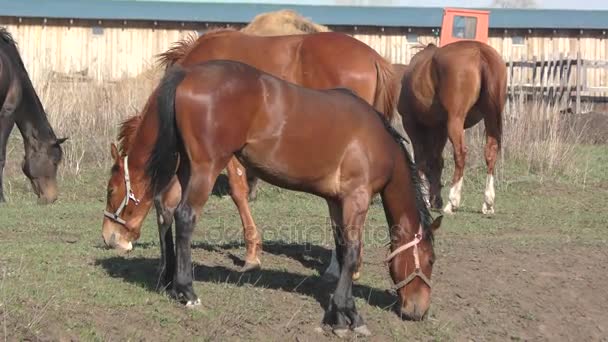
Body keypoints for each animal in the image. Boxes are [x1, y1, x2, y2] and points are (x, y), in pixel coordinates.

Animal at [101, 59, 442, 332]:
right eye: (430, 260)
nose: (418, 311)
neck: (376, 141)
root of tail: (187, 74)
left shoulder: (337, 202)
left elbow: (343, 248)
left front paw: (340, 309)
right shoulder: (356, 199)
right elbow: (353, 251)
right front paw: (348, 315)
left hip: (185, 167)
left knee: (166, 208)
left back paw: (170, 282)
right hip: (205, 168)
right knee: (185, 217)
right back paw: (187, 290)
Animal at [103, 28, 404, 280]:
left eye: (111, 189)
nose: (109, 238)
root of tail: (374, 58)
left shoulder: (228, 153)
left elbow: (238, 192)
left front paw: (251, 254)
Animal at [400, 42, 508, 214]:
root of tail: (480, 51)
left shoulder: (412, 124)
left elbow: (421, 159)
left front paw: (426, 198)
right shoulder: (440, 128)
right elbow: (436, 160)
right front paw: (434, 199)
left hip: (455, 121)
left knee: (460, 153)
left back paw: (453, 202)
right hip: (490, 118)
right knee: (491, 152)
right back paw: (488, 202)